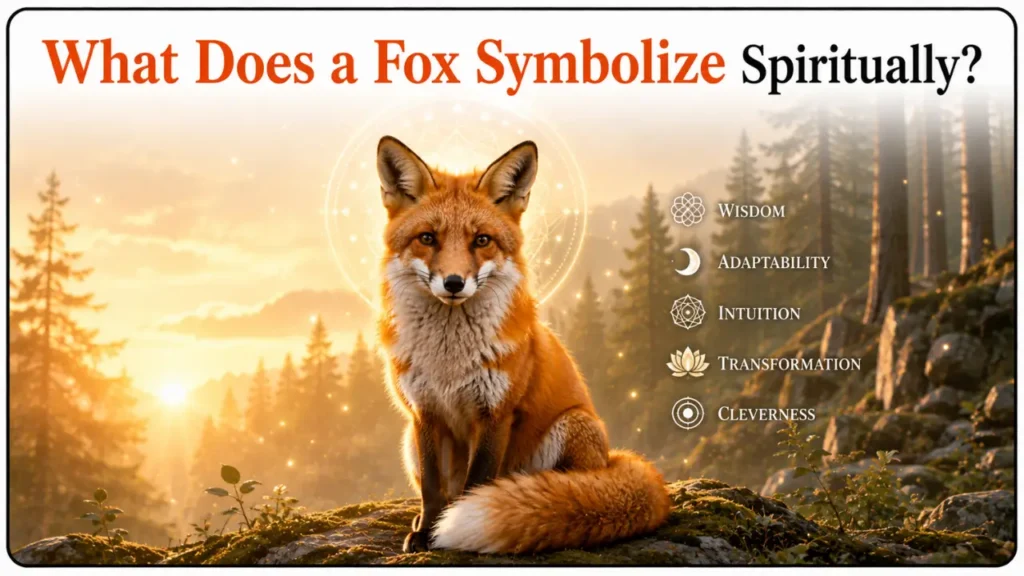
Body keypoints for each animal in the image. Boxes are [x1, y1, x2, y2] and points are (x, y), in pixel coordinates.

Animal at [375, 135, 671, 554]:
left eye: (482, 240)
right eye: (427, 238)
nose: (454, 283)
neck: (449, 361)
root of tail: (610, 459)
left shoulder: (496, 413)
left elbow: (477, 482)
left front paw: (452, 526)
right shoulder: (424, 414)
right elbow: (433, 489)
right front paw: (426, 530)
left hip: (572, 426)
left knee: (567, 489)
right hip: (408, 443)